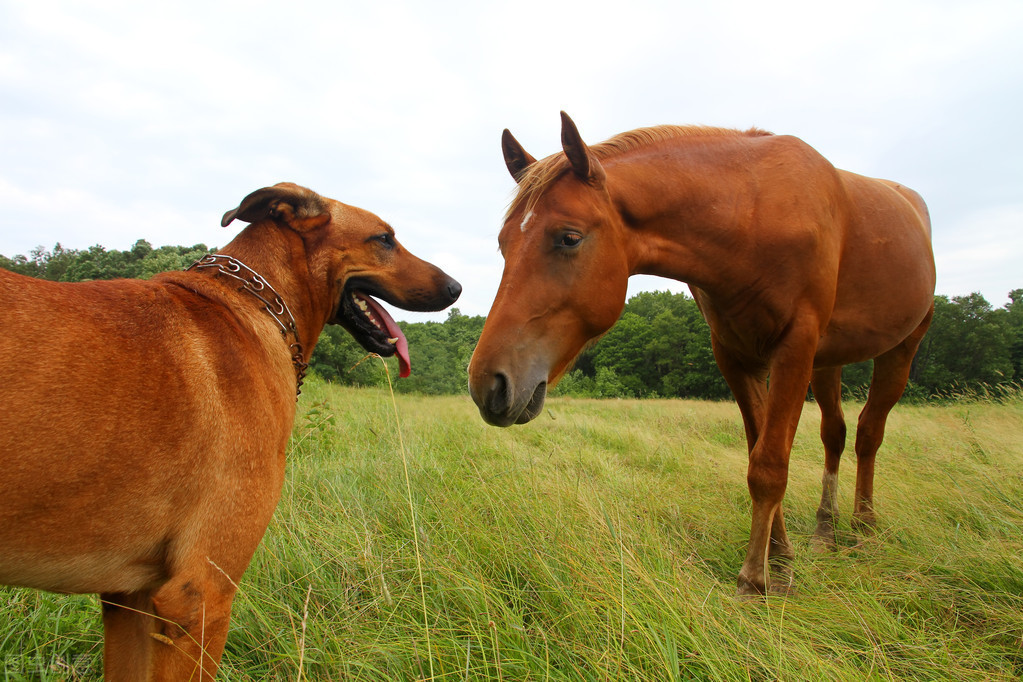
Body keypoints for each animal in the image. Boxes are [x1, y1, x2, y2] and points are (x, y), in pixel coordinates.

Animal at [468, 113, 932, 597]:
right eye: (503, 243)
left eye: (569, 238)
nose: (487, 383)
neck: (751, 214)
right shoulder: (736, 356)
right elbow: (757, 454)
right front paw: (780, 560)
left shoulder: (795, 348)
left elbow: (771, 465)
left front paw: (755, 579)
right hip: (829, 363)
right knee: (836, 436)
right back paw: (826, 531)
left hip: (901, 349)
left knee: (868, 434)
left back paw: (864, 528)